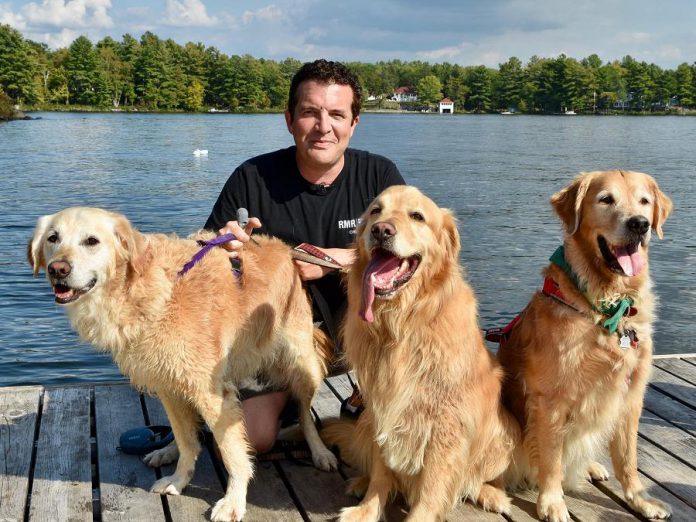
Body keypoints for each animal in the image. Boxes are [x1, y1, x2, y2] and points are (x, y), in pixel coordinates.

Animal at [28, 207, 338, 520]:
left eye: (91, 241)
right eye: (53, 238)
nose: (58, 269)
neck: (150, 291)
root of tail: (286, 249)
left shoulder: (211, 393)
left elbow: (232, 453)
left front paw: (234, 500)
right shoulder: (168, 384)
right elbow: (187, 441)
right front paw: (179, 479)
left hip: (300, 362)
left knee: (305, 415)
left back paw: (319, 451)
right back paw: (167, 450)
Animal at [324, 186, 520, 520]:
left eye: (417, 216)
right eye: (376, 211)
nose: (381, 230)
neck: (402, 324)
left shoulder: (446, 422)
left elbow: (433, 485)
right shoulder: (382, 407)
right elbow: (381, 472)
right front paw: (367, 509)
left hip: (501, 437)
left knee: (474, 479)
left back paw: (491, 494)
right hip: (364, 422)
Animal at [500, 171, 676, 520]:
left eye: (644, 201)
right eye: (605, 199)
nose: (639, 224)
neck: (607, 308)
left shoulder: (631, 395)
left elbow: (628, 459)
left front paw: (640, 499)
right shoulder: (550, 400)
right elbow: (551, 459)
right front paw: (552, 502)